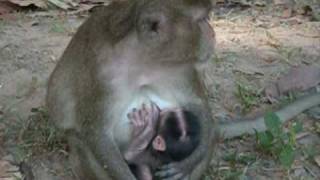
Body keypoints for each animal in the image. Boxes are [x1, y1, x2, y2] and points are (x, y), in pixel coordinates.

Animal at [47, 0, 216, 180]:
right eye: (202, 19)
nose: (213, 34)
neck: (142, 58)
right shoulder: (100, 74)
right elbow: (97, 133)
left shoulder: (183, 66)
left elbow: (198, 105)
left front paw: (188, 163)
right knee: (81, 144)